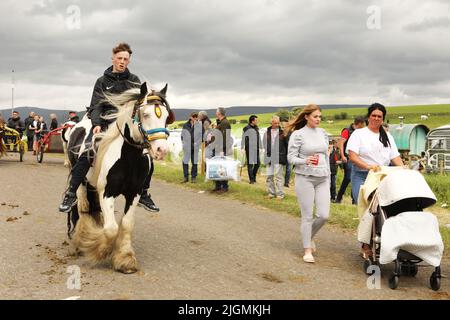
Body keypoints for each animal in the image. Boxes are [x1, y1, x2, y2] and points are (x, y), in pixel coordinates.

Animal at [66, 82, 173, 272]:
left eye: (166, 117)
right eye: (145, 114)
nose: (161, 150)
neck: (128, 159)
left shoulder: (134, 193)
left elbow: (127, 223)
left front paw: (125, 258)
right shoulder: (107, 192)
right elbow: (110, 229)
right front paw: (99, 249)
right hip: (80, 181)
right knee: (81, 208)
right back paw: (78, 241)